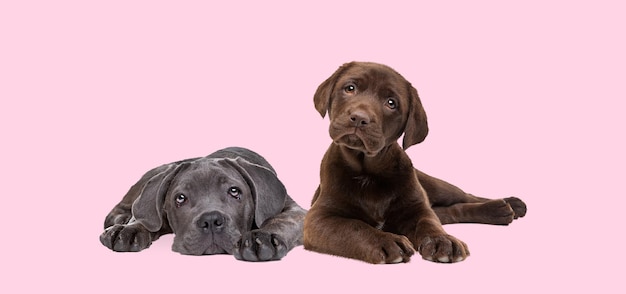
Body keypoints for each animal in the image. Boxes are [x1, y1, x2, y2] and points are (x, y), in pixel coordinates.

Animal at [98, 147, 306, 262]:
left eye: (234, 191)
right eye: (180, 198)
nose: (211, 220)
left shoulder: (295, 211)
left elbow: (282, 220)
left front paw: (260, 238)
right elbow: (145, 216)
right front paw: (128, 229)